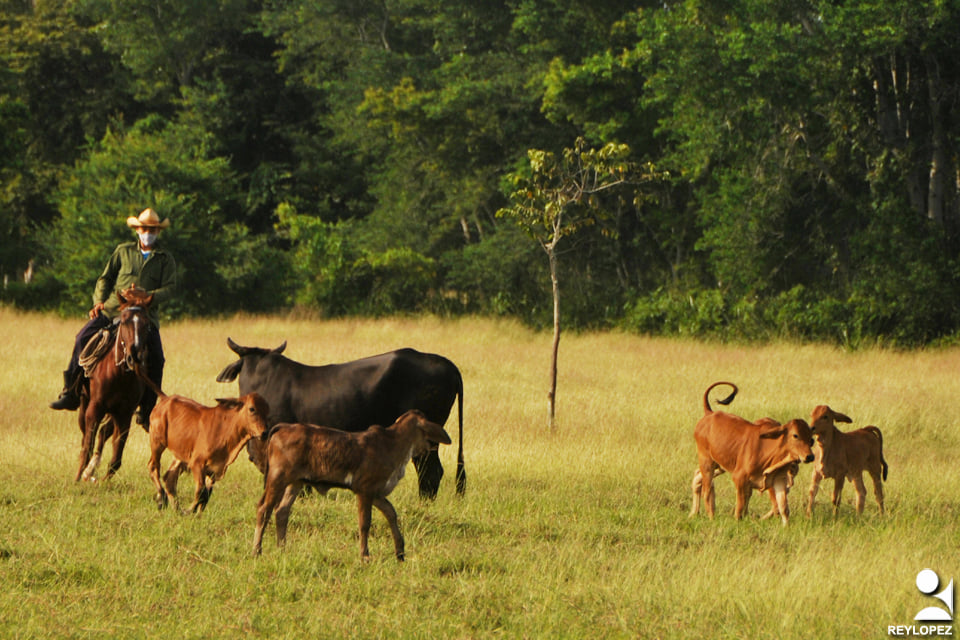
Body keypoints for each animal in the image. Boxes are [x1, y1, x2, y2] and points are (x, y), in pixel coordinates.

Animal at [76, 288, 155, 480]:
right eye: (125, 321)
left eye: (146, 324)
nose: (134, 356)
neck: (119, 375)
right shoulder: (94, 409)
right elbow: (87, 447)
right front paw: (78, 478)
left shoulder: (124, 414)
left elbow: (116, 459)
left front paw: (101, 480)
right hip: (84, 406)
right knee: (86, 438)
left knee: (103, 433)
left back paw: (92, 469)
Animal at [253, 410, 452, 560]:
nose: (434, 444)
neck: (392, 444)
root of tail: (285, 426)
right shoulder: (364, 489)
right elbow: (365, 523)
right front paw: (365, 555)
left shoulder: (376, 492)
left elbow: (391, 513)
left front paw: (400, 552)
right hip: (278, 478)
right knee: (264, 509)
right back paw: (257, 551)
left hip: (295, 482)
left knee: (282, 511)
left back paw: (282, 549)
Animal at [688, 380, 816, 524]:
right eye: (795, 435)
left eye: (811, 439)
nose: (810, 456)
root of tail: (709, 414)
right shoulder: (739, 478)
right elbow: (740, 506)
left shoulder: (779, 480)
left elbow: (783, 507)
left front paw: (786, 526)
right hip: (707, 462)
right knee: (708, 491)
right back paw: (711, 517)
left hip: (720, 465)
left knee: (698, 477)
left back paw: (694, 513)